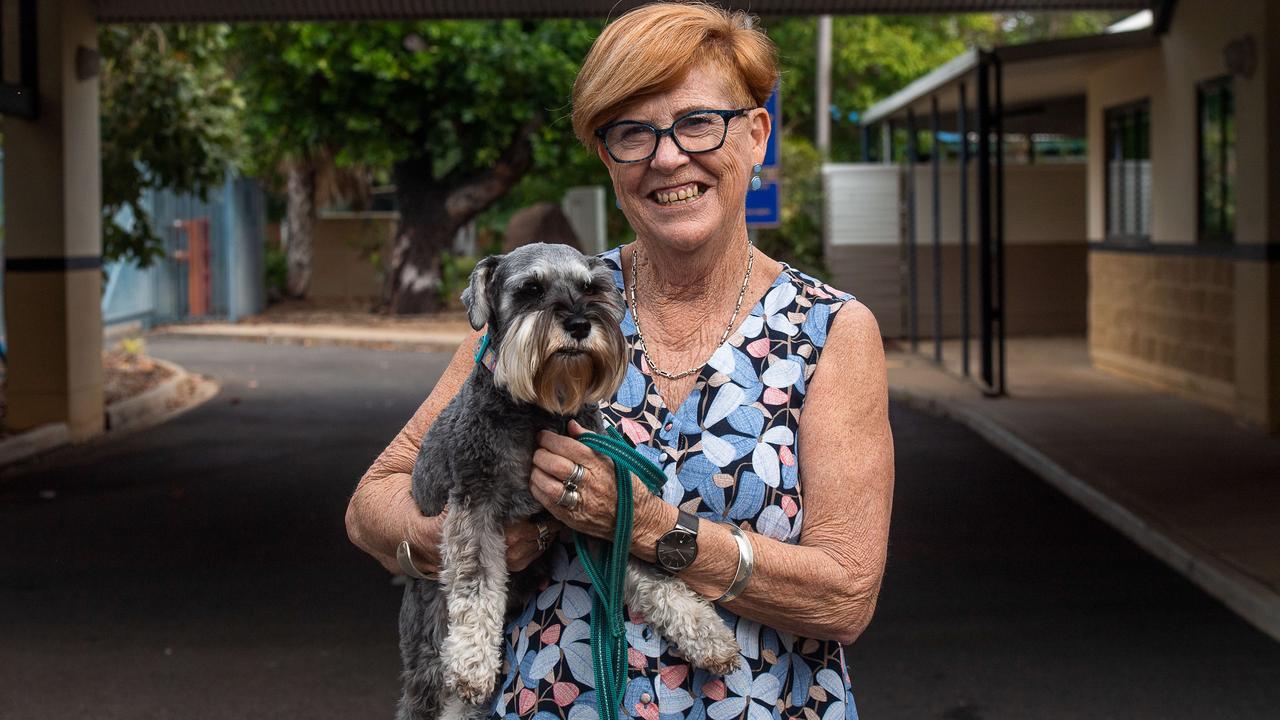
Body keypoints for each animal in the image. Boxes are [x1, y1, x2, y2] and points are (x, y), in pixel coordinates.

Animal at [396, 242, 742, 717]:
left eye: (590, 287)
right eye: (531, 290)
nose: (579, 323)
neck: (541, 411)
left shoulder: (606, 518)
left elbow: (653, 577)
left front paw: (707, 633)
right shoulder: (474, 504)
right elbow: (476, 582)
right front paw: (472, 663)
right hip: (428, 652)